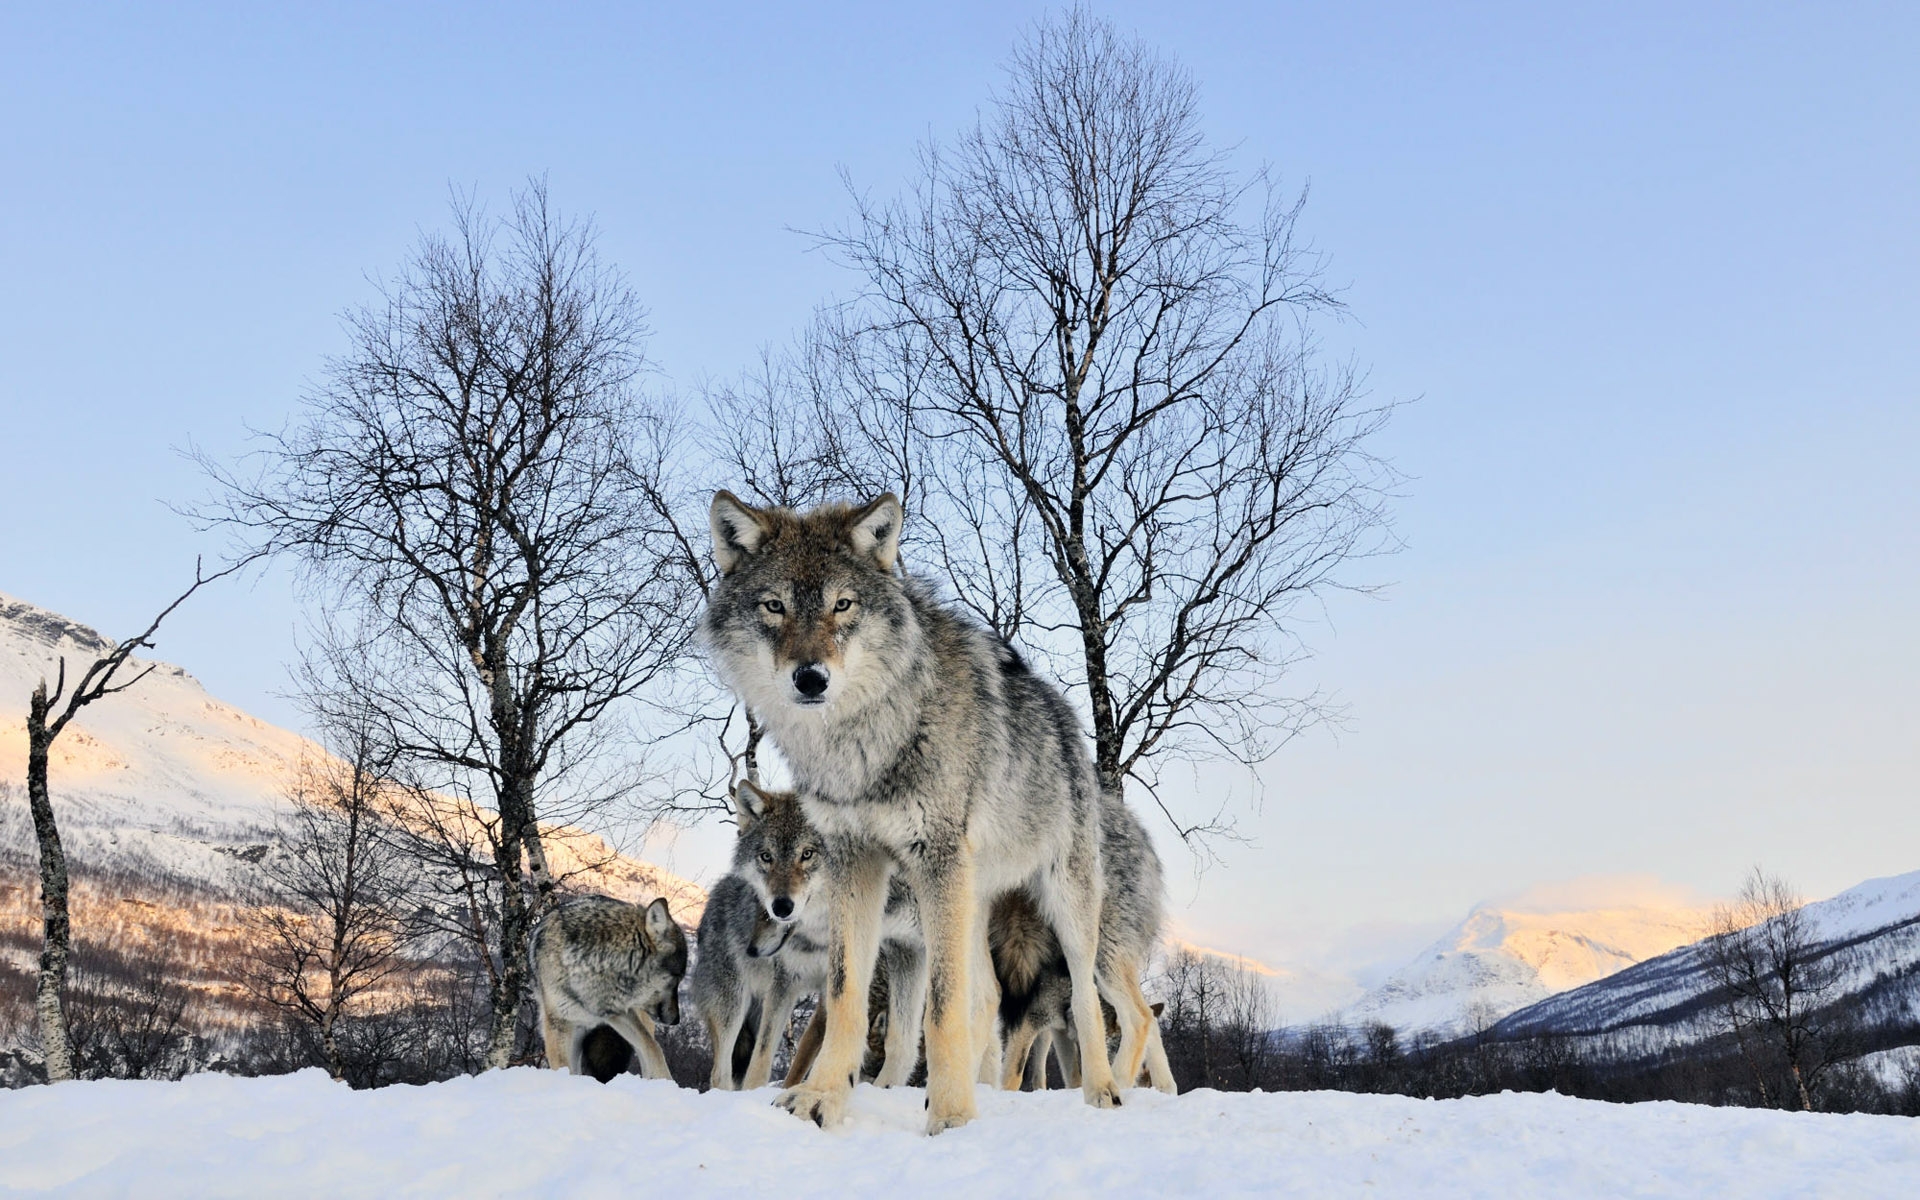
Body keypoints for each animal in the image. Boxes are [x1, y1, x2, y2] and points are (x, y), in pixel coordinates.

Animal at [533, 890, 691, 1075]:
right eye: (677, 978)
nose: (676, 1020)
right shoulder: (559, 1026)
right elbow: (565, 1068)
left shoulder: (621, 1013)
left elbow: (654, 1049)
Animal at [702, 489, 1121, 1128]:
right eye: (774, 606)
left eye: (842, 605)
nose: (810, 678)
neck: (863, 742)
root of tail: (1064, 715)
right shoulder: (855, 860)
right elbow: (846, 994)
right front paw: (821, 1098)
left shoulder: (934, 860)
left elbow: (940, 1009)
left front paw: (951, 1117)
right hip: (968, 902)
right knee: (988, 997)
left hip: (1060, 903)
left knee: (1082, 997)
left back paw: (1101, 1092)